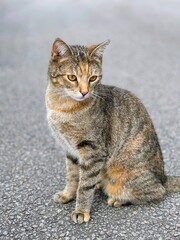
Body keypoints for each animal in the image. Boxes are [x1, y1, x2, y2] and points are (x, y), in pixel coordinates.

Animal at [46, 37, 180, 223]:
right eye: (72, 77)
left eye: (93, 78)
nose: (84, 92)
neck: (60, 105)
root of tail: (163, 177)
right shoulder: (70, 150)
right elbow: (72, 177)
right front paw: (67, 195)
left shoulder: (93, 150)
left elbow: (84, 187)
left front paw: (81, 210)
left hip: (125, 175)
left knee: (157, 192)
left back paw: (118, 199)